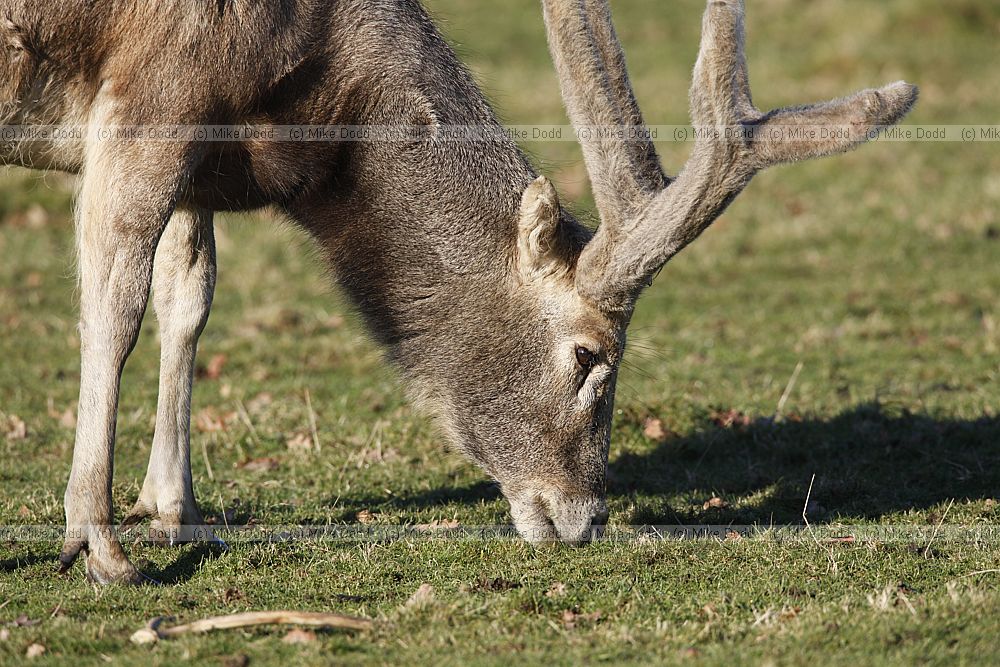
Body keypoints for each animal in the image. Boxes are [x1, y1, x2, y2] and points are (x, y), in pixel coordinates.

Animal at [0, 0, 917, 583]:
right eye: (589, 355)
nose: (587, 517)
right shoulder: (151, 92)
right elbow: (113, 306)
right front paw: (100, 544)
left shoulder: (199, 148)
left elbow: (187, 293)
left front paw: (178, 509)